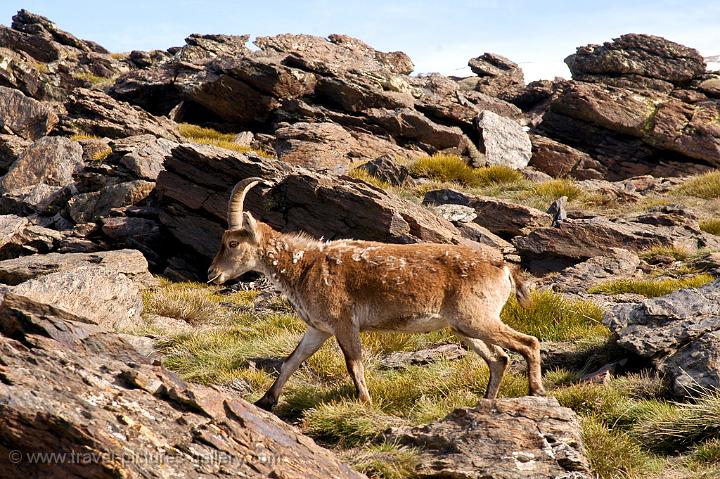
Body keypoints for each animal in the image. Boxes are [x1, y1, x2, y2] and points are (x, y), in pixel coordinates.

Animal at [208, 177, 545, 410]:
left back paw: (536, 392)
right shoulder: (319, 329)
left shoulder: (344, 323)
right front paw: (265, 401)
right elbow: (291, 361)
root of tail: (504, 268)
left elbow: (353, 364)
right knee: (499, 359)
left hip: (477, 319)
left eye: (233, 243)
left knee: (528, 343)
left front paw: (366, 403)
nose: (212, 274)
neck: (304, 266)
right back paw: (487, 402)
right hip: (464, 327)